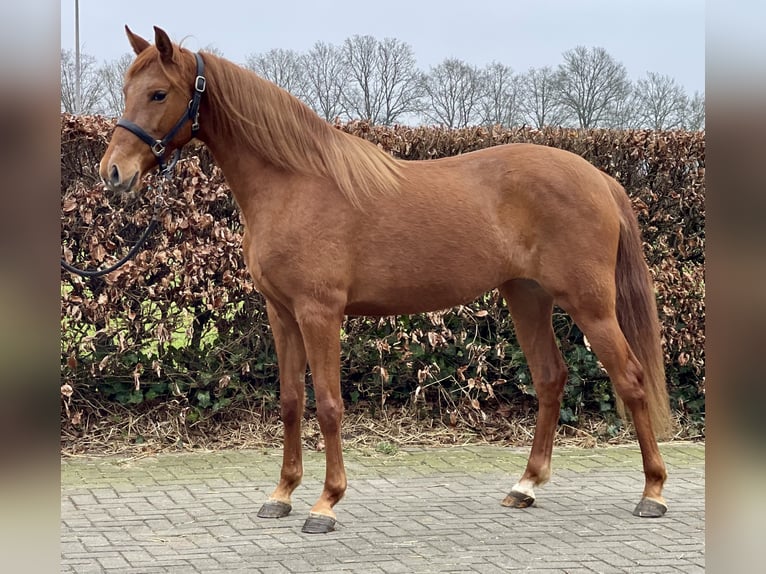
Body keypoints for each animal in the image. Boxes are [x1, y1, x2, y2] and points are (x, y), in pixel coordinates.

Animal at [100, 28, 672, 536]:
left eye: (158, 93)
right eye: (127, 90)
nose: (113, 173)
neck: (295, 184)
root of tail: (599, 178)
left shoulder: (319, 313)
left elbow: (329, 405)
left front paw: (325, 504)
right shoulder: (281, 314)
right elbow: (290, 402)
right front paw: (281, 495)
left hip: (591, 305)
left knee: (632, 378)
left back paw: (652, 492)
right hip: (526, 297)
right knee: (551, 378)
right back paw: (525, 486)